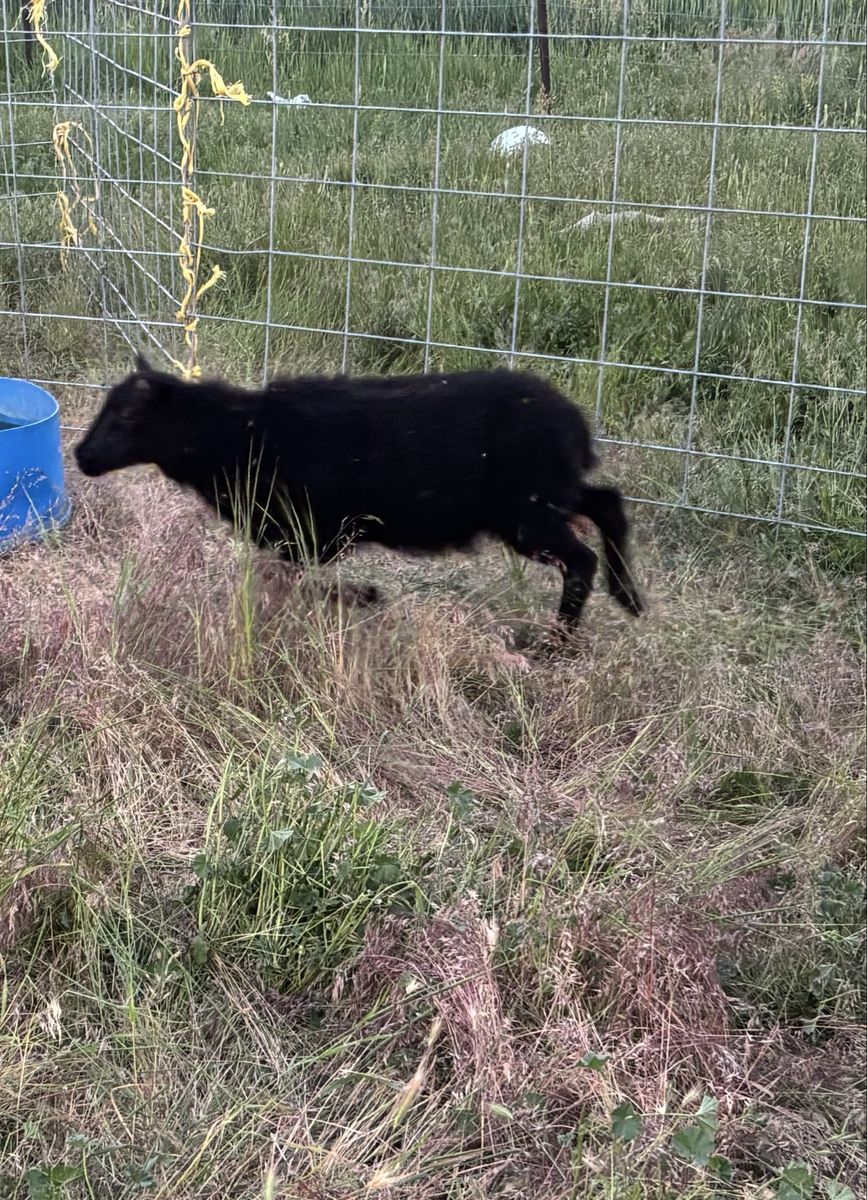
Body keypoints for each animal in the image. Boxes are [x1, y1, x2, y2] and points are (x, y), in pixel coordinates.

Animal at [74, 356, 643, 628]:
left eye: (128, 417)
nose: (80, 456)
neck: (238, 434)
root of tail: (574, 425)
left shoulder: (312, 534)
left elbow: (298, 584)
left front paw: (366, 596)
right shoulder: (300, 540)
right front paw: (363, 597)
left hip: (525, 512)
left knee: (582, 558)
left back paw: (558, 643)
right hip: (544, 497)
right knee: (608, 503)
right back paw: (630, 598)